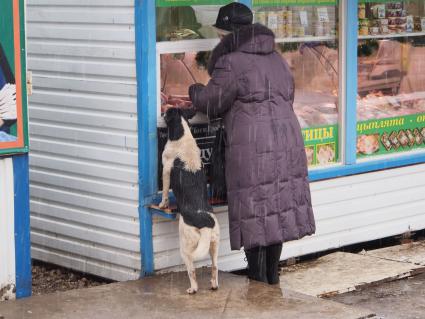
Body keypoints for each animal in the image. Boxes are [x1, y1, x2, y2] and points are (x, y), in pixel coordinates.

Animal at [157, 107, 220, 296]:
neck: (183, 134)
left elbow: (164, 192)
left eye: (167, 111)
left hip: (185, 247)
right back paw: (214, 285)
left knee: (192, 271)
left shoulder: (166, 170)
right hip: (214, 244)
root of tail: (205, 222)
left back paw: (193, 288)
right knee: (215, 267)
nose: (162, 113)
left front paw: (162, 204)